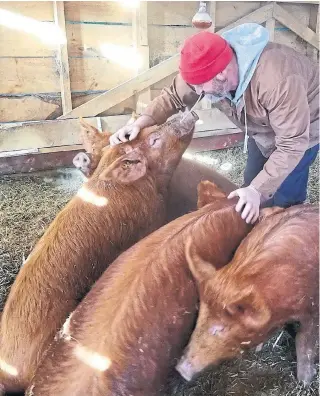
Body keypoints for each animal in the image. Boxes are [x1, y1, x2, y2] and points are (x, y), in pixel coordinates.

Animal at [176, 203, 318, 386]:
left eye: (221, 328)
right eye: (198, 320)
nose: (180, 369)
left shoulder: (313, 307)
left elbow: (305, 340)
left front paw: (305, 381)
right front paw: (258, 348)